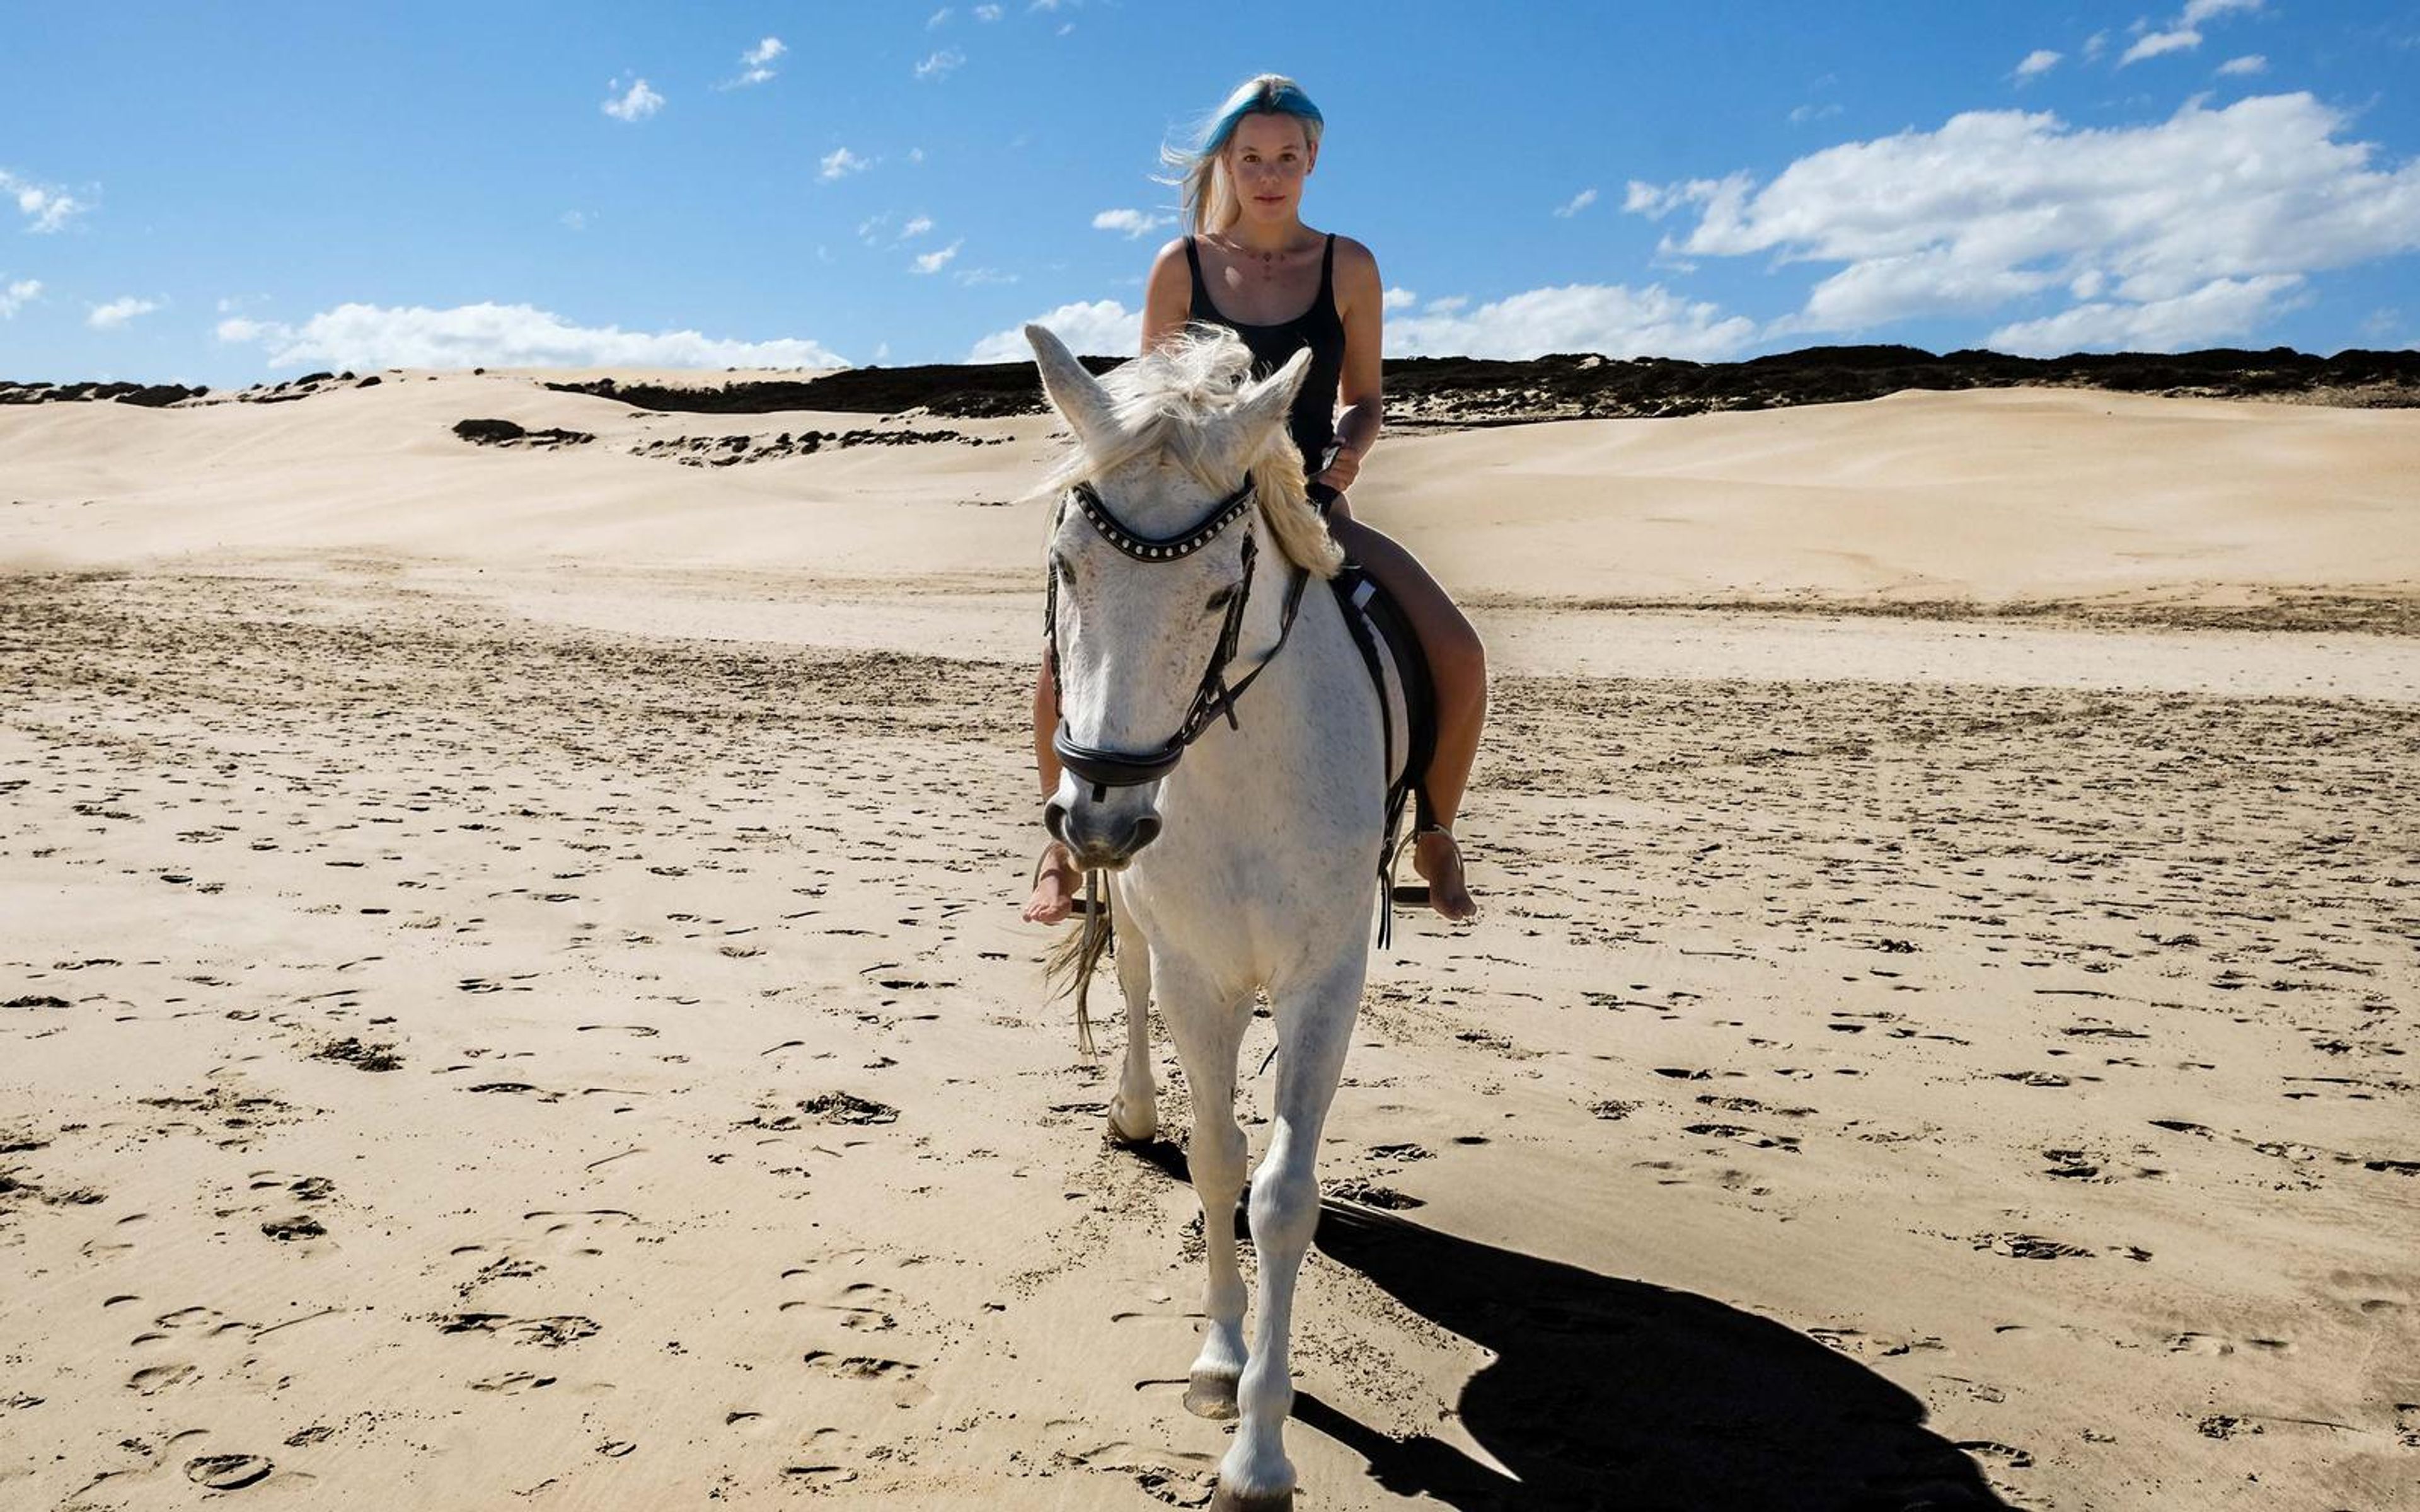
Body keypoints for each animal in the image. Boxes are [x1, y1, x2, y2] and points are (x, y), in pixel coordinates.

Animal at [1026, 322, 1395, 1512]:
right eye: (1067, 565)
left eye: (1218, 587)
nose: (1100, 810)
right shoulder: (1199, 974)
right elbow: (1217, 1161)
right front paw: (1220, 1367)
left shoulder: (1325, 978)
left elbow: (1278, 1195)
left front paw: (1260, 1450)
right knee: (1131, 983)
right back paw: (1135, 1107)